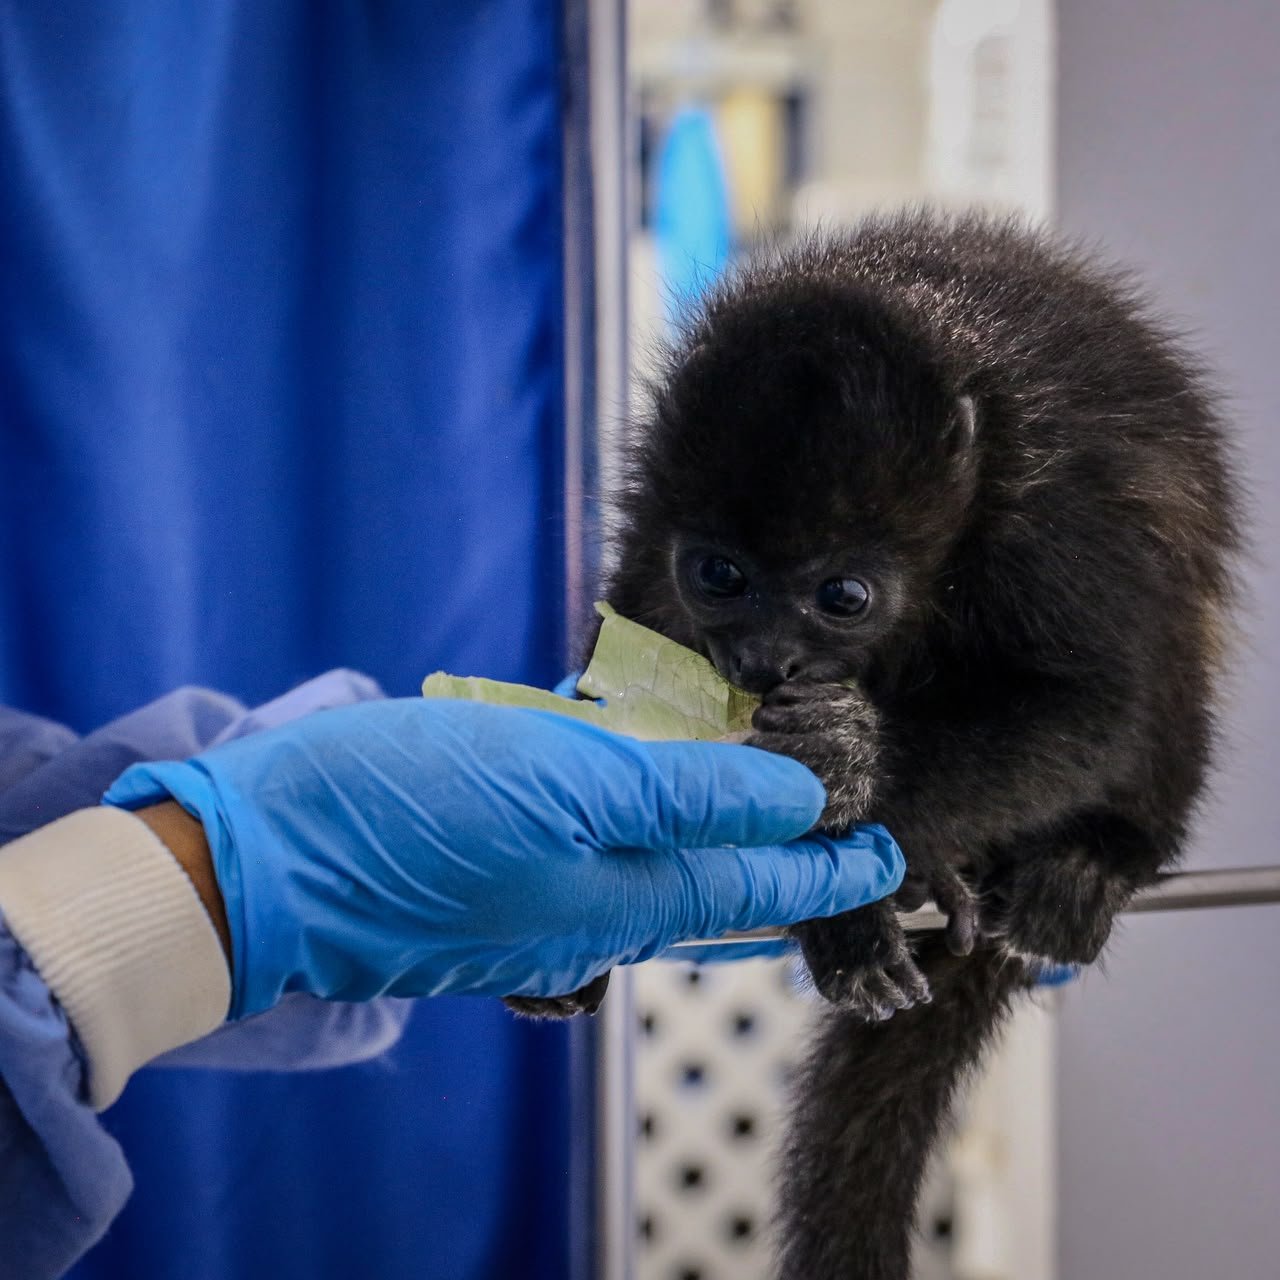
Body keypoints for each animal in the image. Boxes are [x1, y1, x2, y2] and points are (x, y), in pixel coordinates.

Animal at [508, 209, 1241, 1279]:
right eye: (720, 574)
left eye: (842, 595)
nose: (764, 657)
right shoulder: (658, 514)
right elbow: (634, 631)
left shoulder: (1058, 509)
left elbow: (1096, 702)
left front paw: (851, 767)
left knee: (1169, 655)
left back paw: (1092, 862)